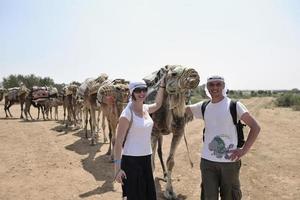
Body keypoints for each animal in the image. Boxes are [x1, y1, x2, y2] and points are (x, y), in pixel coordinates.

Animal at [144, 65, 200, 199]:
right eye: (174, 73)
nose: (193, 74)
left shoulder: (178, 132)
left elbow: (171, 161)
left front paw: (170, 191)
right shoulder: (153, 132)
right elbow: (150, 158)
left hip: (161, 134)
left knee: (158, 151)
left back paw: (164, 175)